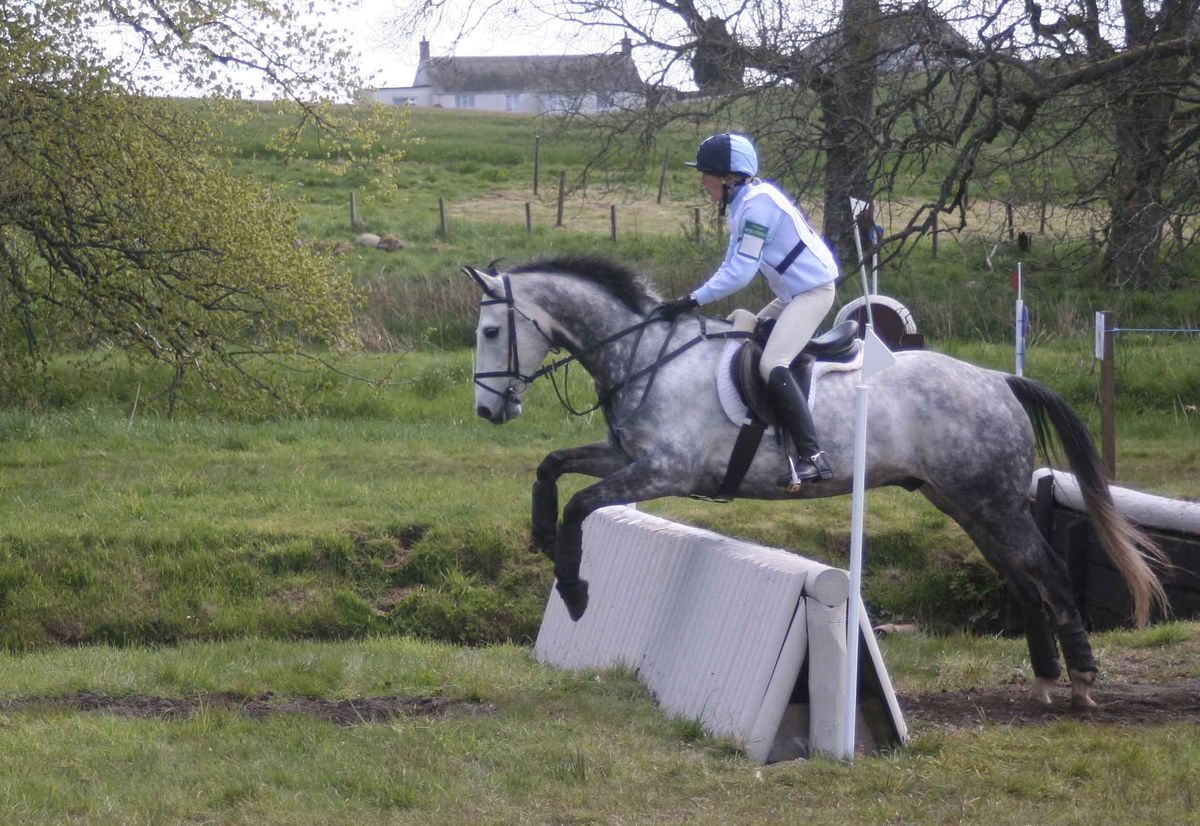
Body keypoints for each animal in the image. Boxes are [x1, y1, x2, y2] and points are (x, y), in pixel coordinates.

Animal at [465, 254, 1161, 705]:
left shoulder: (663, 471)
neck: (645, 356)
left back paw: (1082, 681)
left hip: (992, 502)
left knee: (1048, 572)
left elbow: (582, 503)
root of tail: (999, 379)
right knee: (1022, 579)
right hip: (966, 502)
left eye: (492, 331)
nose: (487, 412)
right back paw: (1046, 677)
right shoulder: (625, 458)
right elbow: (553, 467)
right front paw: (541, 536)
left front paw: (575, 588)